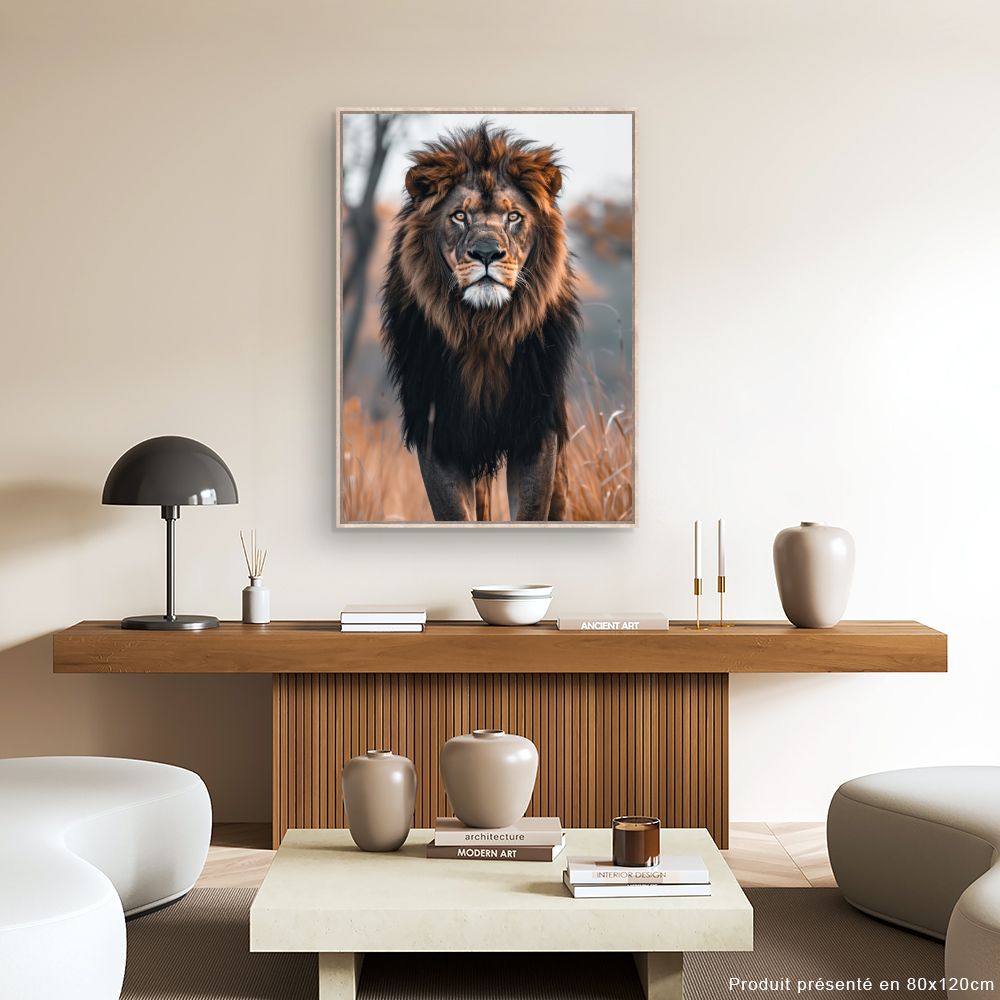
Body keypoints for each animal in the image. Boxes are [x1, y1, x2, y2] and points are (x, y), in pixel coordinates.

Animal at [379, 121, 580, 521]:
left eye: (513, 217)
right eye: (460, 215)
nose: (487, 253)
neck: (483, 329)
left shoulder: (536, 431)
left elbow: (531, 512)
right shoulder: (438, 431)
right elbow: (455, 513)